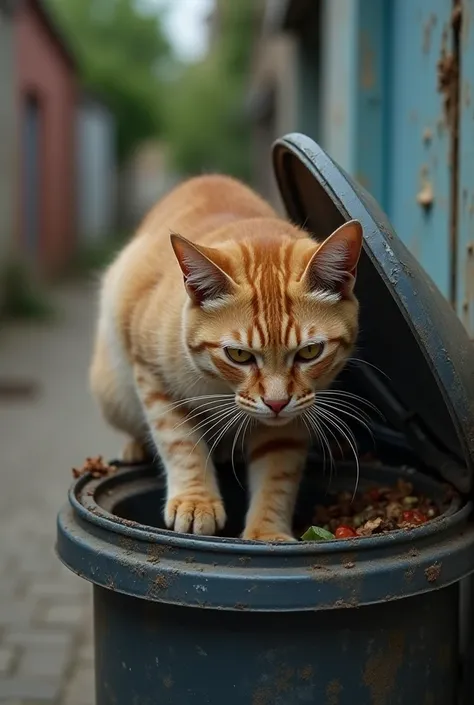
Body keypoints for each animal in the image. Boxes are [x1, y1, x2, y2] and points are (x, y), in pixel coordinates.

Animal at [90, 175, 362, 540]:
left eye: (309, 351)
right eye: (238, 355)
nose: (276, 403)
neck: (220, 387)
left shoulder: (294, 416)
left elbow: (277, 475)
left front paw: (266, 532)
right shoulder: (151, 374)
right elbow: (180, 442)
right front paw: (196, 502)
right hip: (113, 394)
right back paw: (137, 447)